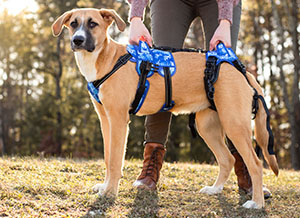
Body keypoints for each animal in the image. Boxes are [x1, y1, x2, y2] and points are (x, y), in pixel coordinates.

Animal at [52, 8, 278, 209]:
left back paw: (256, 203)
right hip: (208, 126)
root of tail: (241, 70)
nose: (78, 40)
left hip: (234, 123)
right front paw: (105, 187)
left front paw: (110, 193)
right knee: (228, 158)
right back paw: (215, 189)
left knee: (255, 163)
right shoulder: (105, 121)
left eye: (93, 24)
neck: (106, 59)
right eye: (74, 24)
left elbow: (115, 161)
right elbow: (108, 159)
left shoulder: (118, 121)